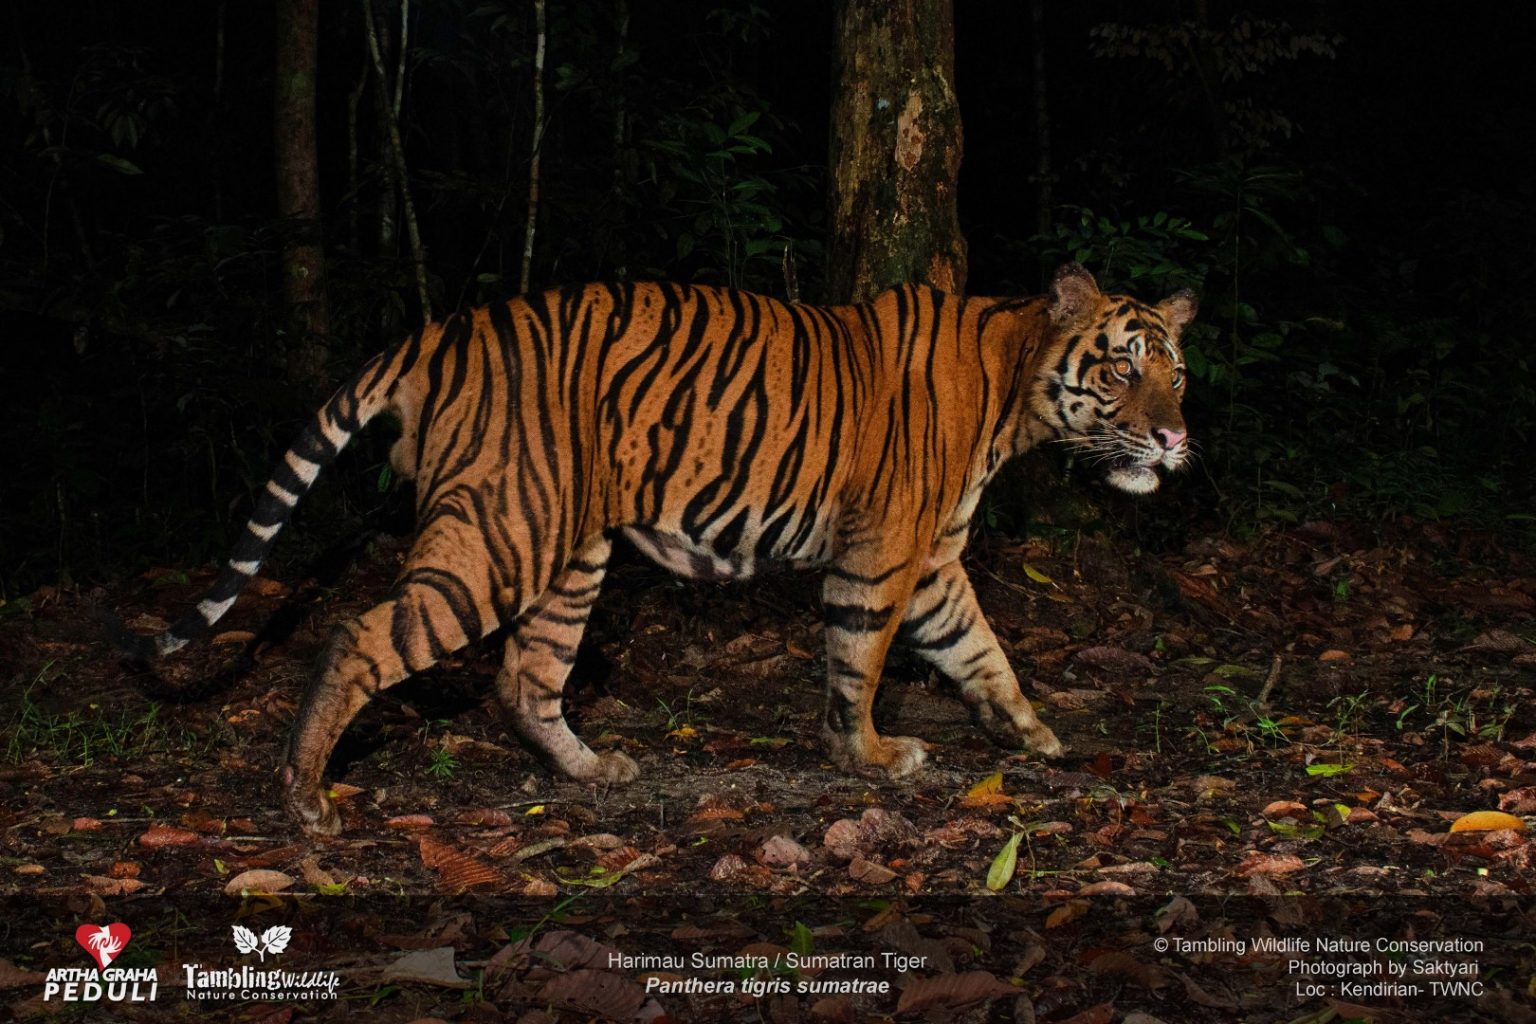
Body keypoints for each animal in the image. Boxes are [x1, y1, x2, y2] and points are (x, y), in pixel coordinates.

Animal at [107, 263, 1196, 835]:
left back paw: (593, 771)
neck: (1016, 389)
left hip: (567, 551)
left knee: (525, 677)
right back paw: (306, 799)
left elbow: (982, 651)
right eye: (1121, 367)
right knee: (360, 635)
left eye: (1177, 371)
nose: (1177, 436)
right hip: (499, 537)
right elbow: (860, 658)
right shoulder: (886, 551)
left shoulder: (930, 563)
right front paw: (871, 754)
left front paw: (1033, 733)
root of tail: (438, 331)